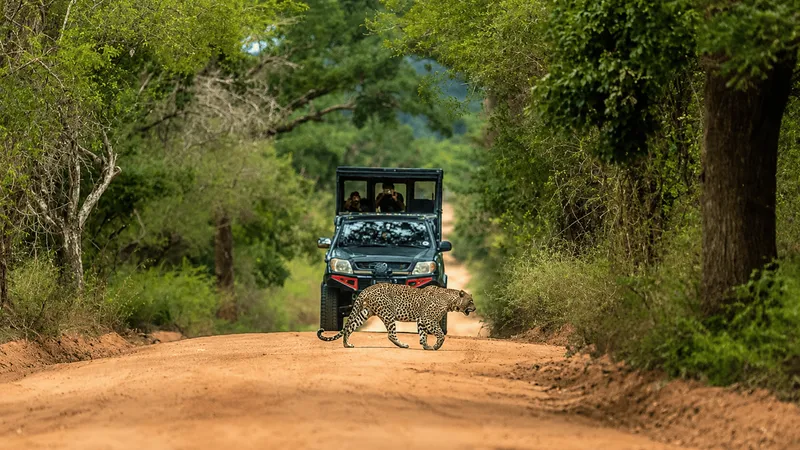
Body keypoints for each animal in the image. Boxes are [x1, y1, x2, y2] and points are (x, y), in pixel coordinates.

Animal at [316, 283, 476, 350]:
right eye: (471, 301)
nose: (475, 308)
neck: (451, 301)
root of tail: (367, 289)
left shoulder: (421, 320)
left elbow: (423, 334)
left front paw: (425, 346)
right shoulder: (428, 319)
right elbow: (441, 334)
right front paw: (436, 346)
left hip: (366, 312)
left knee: (350, 327)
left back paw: (347, 344)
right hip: (388, 313)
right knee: (391, 335)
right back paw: (403, 345)